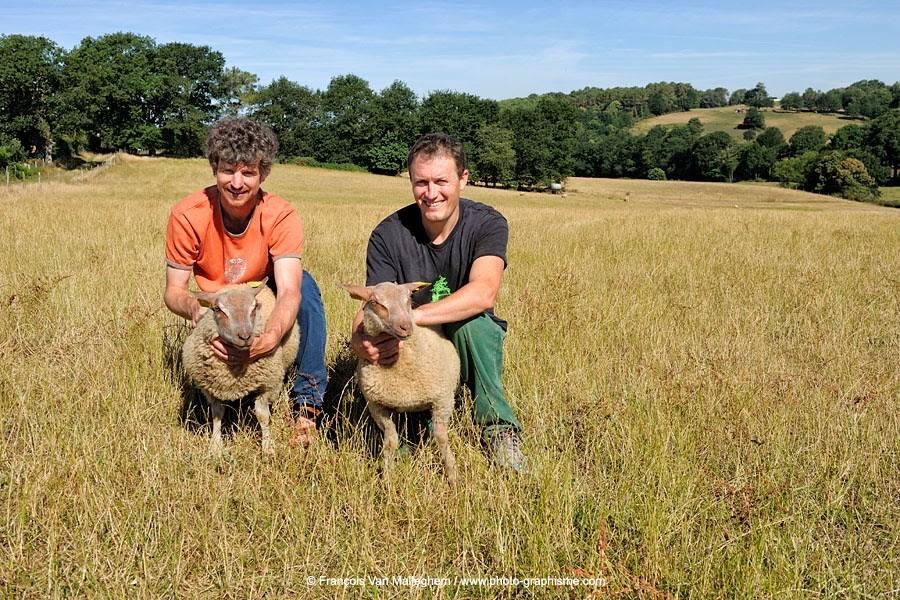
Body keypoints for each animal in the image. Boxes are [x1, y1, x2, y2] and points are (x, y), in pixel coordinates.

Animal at [181, 278, 300, 458]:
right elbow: (217, 414)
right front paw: (215, 447)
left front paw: (268, 447)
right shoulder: (212, 388)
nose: (244, 336)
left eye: (254, 307)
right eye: (218, 309)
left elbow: (262, 415)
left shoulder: (267, 385)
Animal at [342, 282, 460, 482]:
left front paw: (452, 476)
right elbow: (390, 441)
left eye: (408, 300)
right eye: (375, 302)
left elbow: (441, 438)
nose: (405, 327)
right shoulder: (377, 405)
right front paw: (387, 478)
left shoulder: (442, 399)